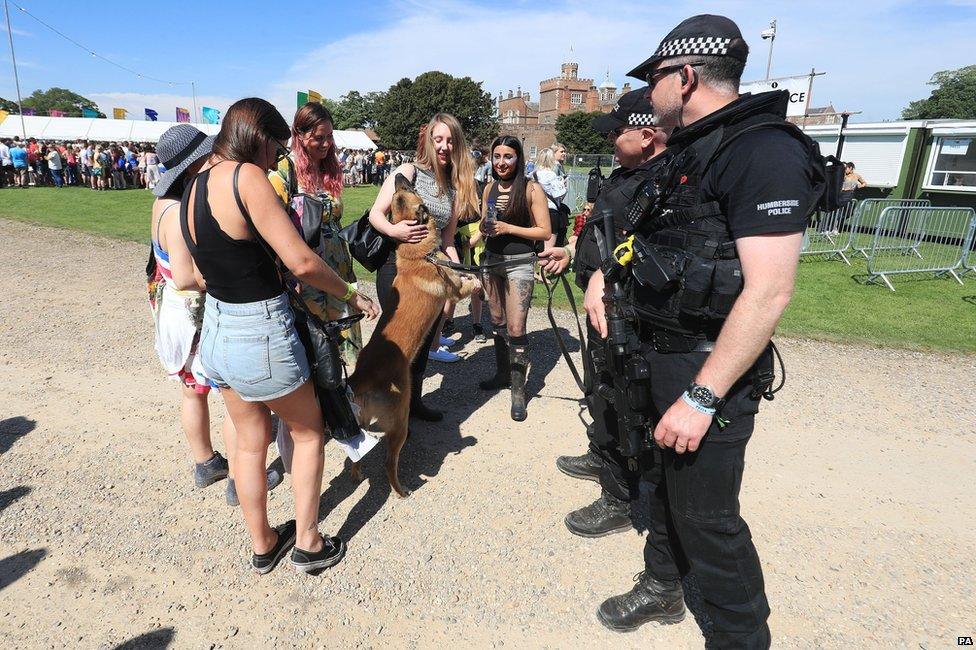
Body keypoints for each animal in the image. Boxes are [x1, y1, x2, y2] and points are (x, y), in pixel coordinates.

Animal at [346, 173, 476, 496]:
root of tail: (362, 376)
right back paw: (401, 489)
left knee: (357, 457)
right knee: (388, 462)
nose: (398, 175)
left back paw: (356, 474)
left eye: (402, 191)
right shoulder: (455, 289)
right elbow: (468, 282)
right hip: (399, 424)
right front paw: (478, 279)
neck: (419, 254)